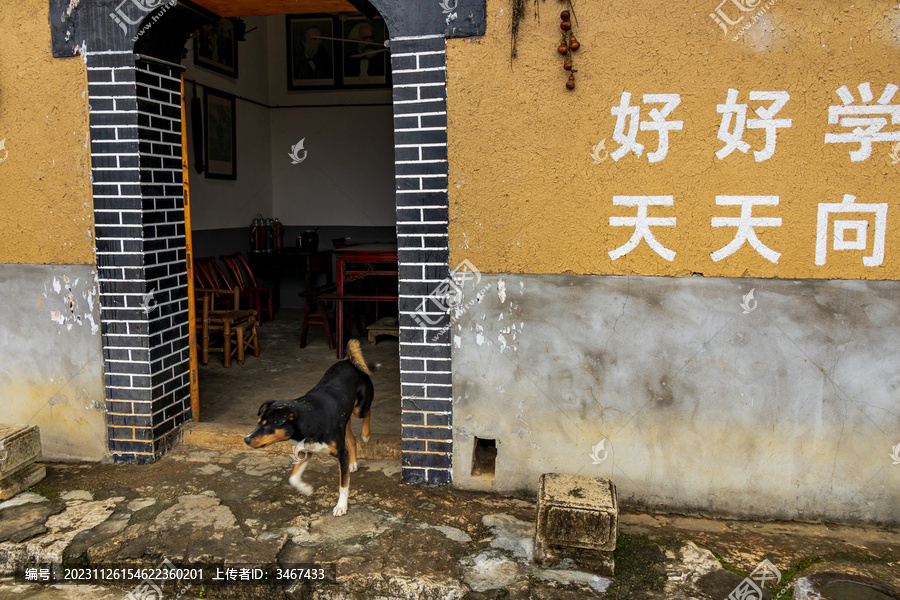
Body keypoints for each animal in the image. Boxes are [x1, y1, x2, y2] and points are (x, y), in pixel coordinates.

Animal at [243, 340, 372, 516]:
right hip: (345, 419)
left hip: (360, 407)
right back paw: (353, 463)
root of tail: (349, 361)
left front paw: (341, 506)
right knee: (351, 439)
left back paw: (366, 434)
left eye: (268, 424)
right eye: (258, 422)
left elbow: (343, 485)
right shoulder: (306, 451)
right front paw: (305, 489)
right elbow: (293, 478)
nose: (246, 439)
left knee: (367, 412)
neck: (308, 420)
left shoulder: (341, 453)